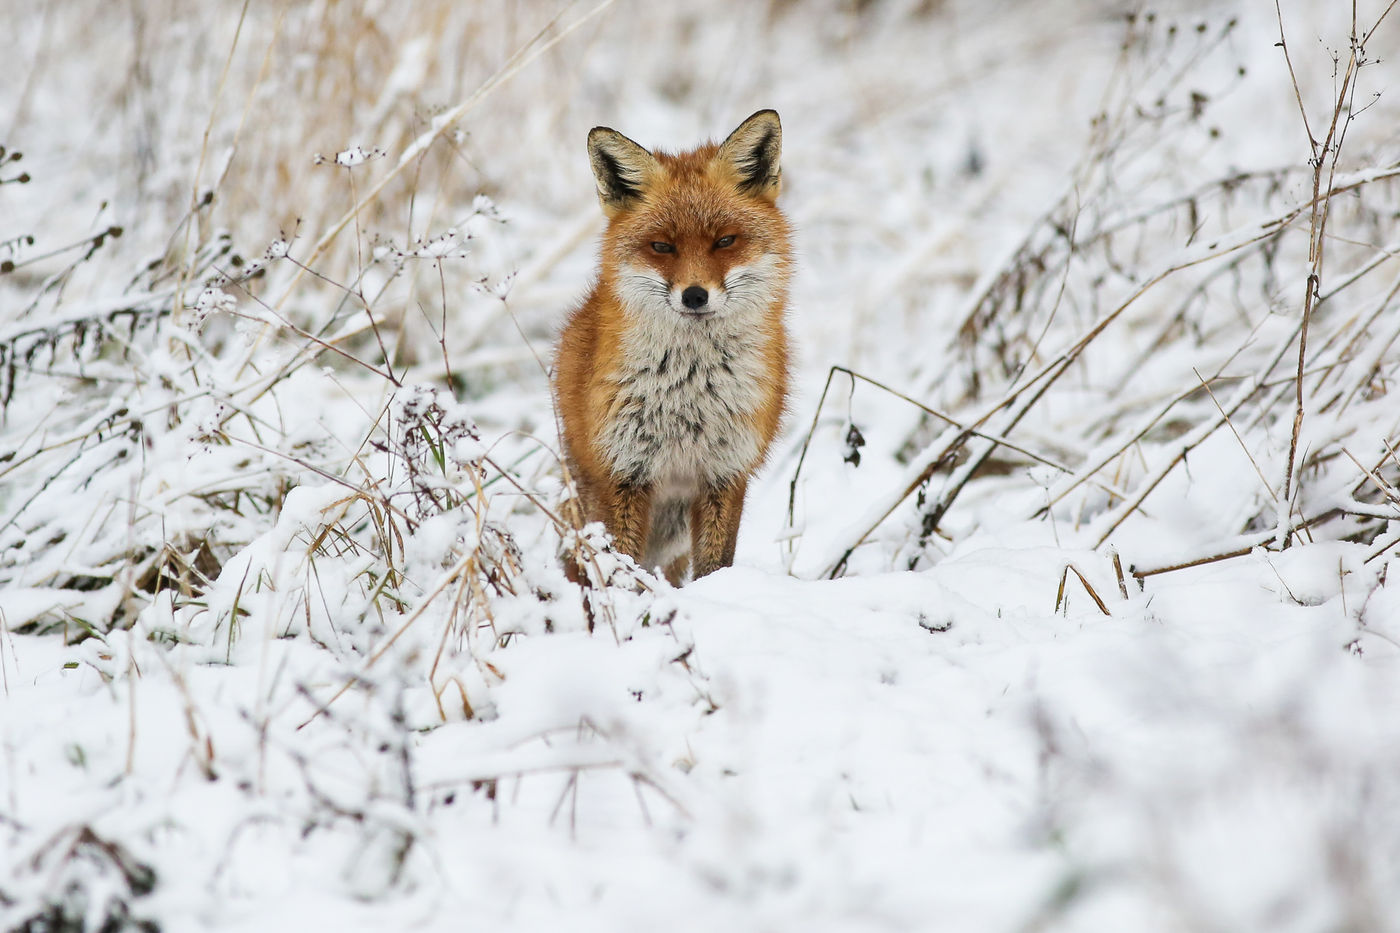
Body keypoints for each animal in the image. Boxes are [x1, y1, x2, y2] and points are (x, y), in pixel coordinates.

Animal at [554, 110, 795, 582]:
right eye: (662, 246)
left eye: (725, 241)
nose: (695, 296)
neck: (691, 390)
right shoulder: (622, 473)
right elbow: (622, 570)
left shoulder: (725, 474)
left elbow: (715, 567)